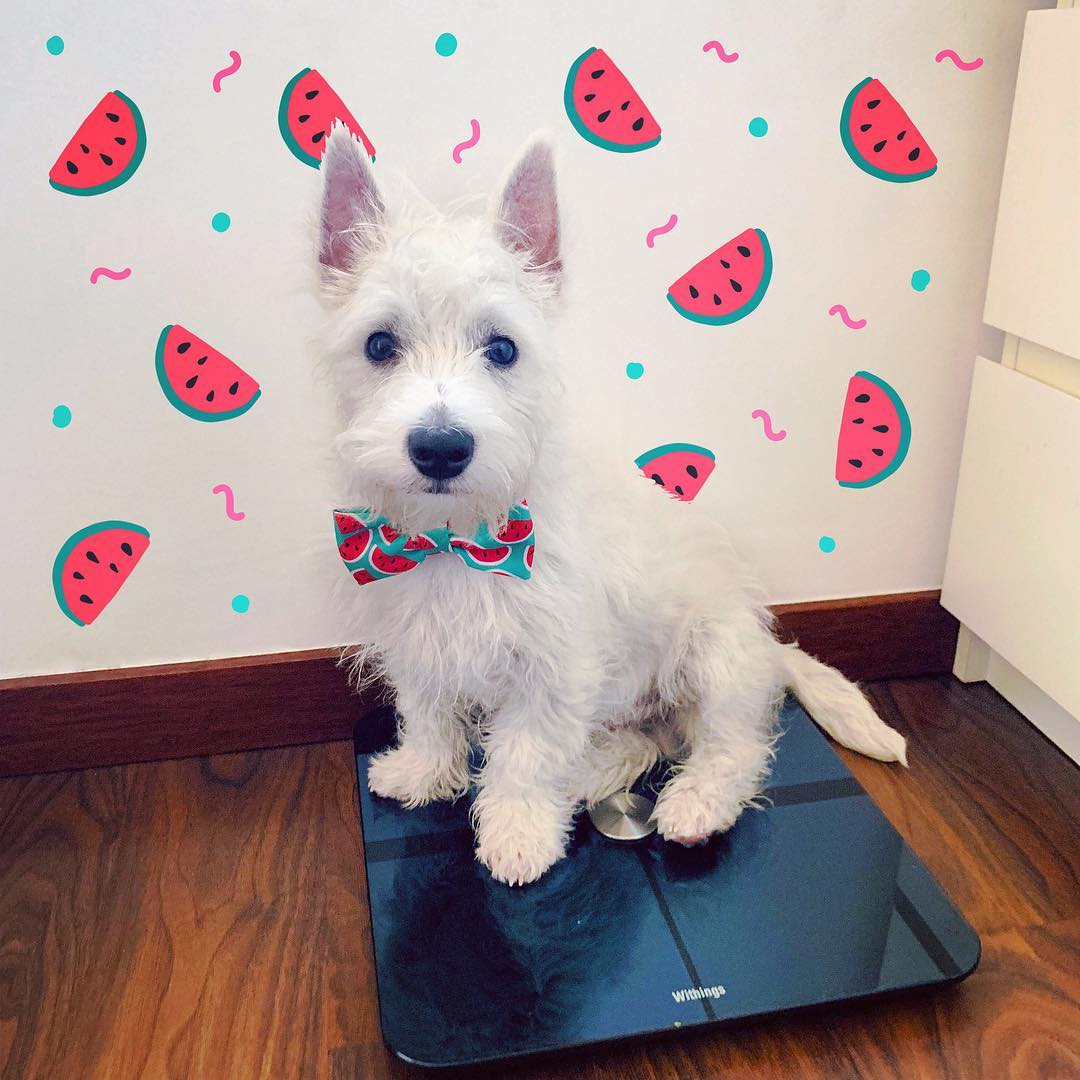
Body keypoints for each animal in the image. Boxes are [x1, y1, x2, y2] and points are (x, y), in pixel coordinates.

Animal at [315, 126, 907, 885]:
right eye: (380, 344)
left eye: (502, 348)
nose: (441, 448)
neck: (459, 539)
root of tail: (768, 648)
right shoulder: (418, 641)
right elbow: (429, 715)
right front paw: (424, 773)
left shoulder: (554, 668)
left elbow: (526, 755)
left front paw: (518, 834)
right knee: (646, 741)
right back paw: (591, 775)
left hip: (714, 657)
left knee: (734, 749)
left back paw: (693, 804)